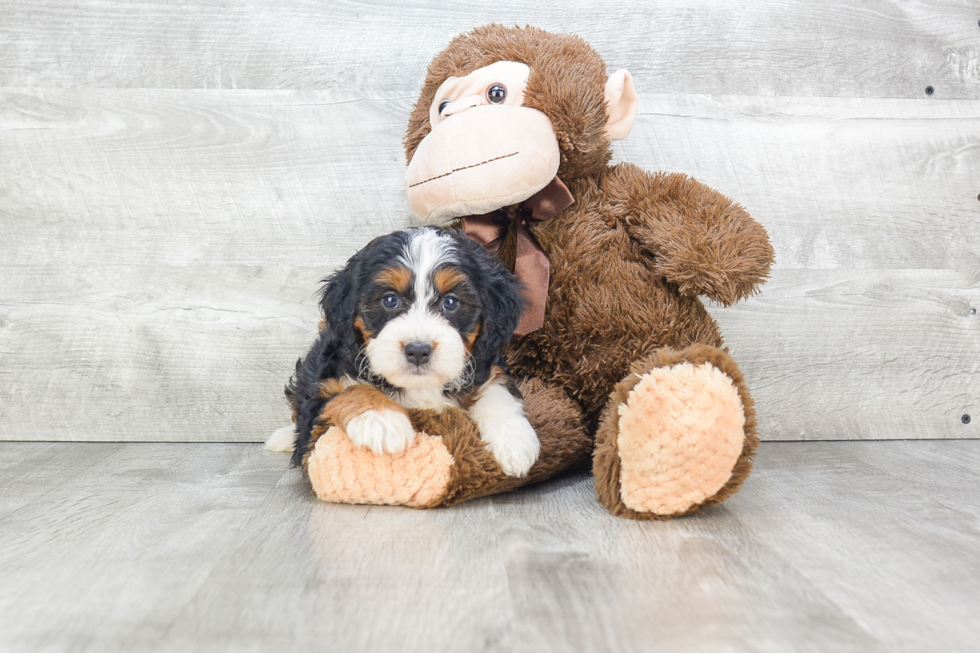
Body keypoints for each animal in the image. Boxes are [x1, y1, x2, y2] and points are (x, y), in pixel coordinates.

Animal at [268, 227, 540, 476]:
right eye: (390, 300)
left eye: (450, 302)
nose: (418, 351)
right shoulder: (320, 394)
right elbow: (349, 390)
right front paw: (382, 422)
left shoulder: (486, 364)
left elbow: (496, 386)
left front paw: (514, 441)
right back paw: (283, 438)